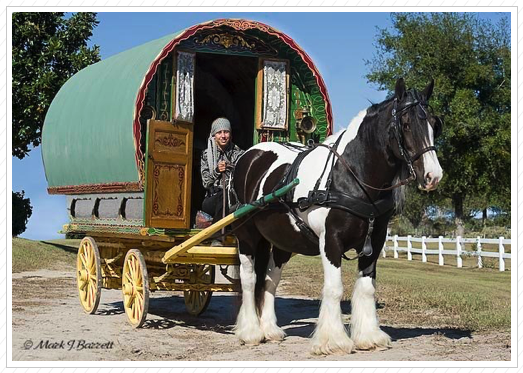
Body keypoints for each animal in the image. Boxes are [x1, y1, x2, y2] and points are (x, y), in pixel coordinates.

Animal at [232, 77, 442, 352]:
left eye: (435, 124)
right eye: (406, 124)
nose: (433, 176)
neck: (350, 175)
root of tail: (251, 154)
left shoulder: (374, 241)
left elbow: (367, 288)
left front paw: (369, 336)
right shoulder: (331, 241)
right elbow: (334, 288)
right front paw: (333, 340)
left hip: (282, 241)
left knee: (269, 280)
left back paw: (270, 329)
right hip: (246, 235)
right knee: (248, 279)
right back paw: (251, 332)